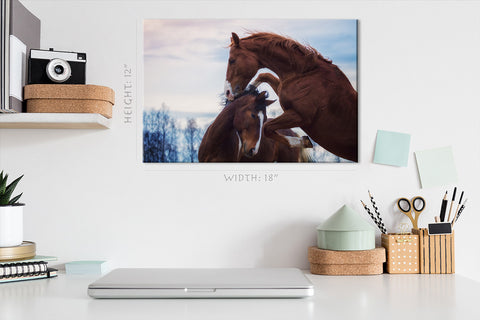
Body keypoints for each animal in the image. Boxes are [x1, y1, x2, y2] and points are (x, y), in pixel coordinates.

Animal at [224, 32, 356, 161]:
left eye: (232, 60)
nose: (227, 92)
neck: (307, 74)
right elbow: (264, 75)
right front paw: (248, 91)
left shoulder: (300, 117)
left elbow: (267, 128)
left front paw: (304, 141)